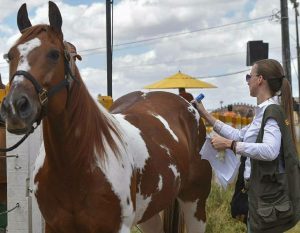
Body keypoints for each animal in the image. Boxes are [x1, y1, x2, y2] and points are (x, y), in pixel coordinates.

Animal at [0, 2, 211, 233]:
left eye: (54, 54)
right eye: (10, 55)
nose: (15, 107)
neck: (75, 166)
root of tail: (186, 103)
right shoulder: (54, 226)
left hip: (195, 203)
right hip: (150, 212)